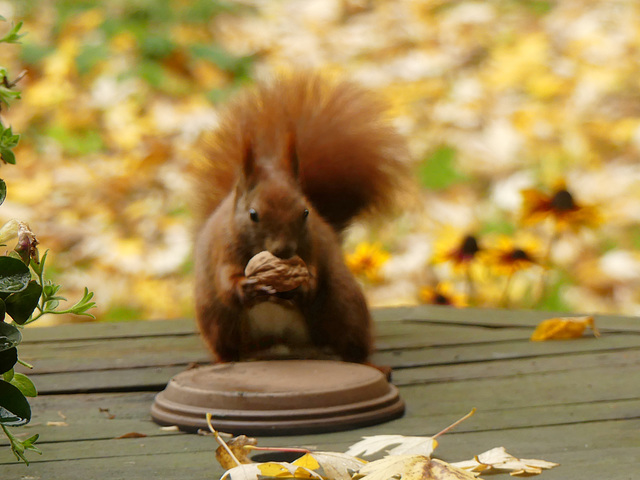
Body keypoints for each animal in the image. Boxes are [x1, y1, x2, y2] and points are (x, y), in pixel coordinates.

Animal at [192, 71, 408, 364]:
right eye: (253, 215)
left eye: (306, 212)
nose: (284, 251)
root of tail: (282, 343)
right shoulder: (222, 248)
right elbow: (225, 283)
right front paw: (246, 287)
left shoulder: (311, 244)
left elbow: (313, 273)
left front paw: (302, 286)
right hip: (217, 319)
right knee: (229, 343)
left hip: (343, 305)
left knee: (352, 344)